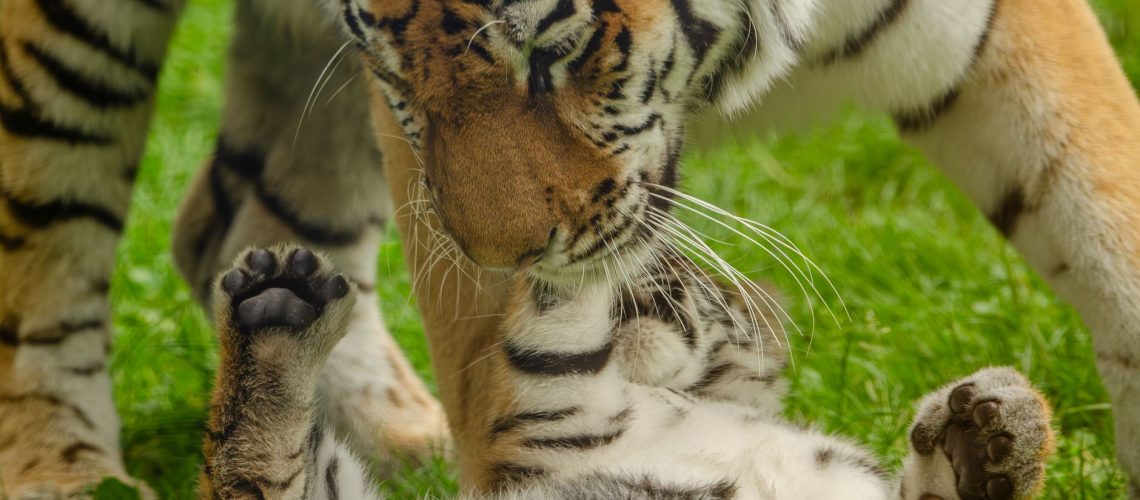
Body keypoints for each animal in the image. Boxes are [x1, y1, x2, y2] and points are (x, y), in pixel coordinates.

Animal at [200, 243, 1055, 499]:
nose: (653, 272)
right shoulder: (551, 414)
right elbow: (556, 332)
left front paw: (991, 432)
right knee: (249, 465)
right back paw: (276, 312)